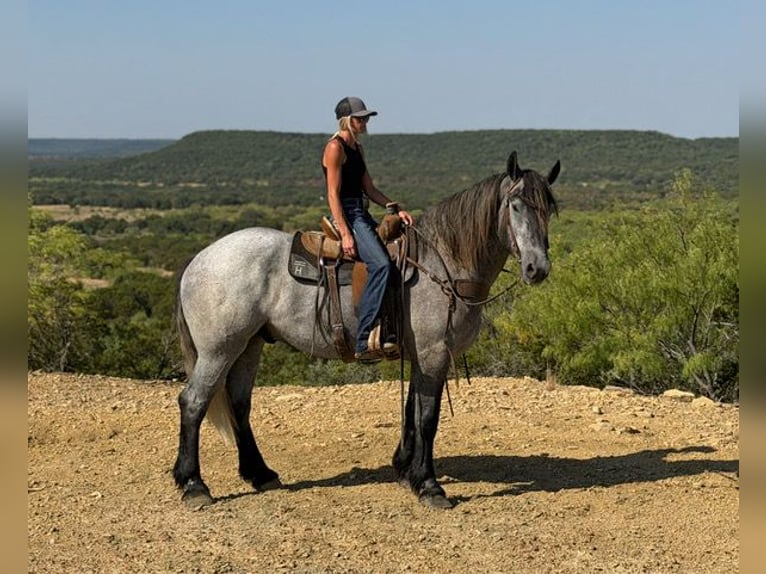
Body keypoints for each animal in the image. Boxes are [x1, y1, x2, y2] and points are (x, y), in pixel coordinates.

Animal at [173, 151, 560, 509]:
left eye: (549, 210)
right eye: (515, 206)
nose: (537, 268)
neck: (443, 264)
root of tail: (198, 260)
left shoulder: (420, 356)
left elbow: (411, 412)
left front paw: (406, 471)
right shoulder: (433, 353)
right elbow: (427, 418)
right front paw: (430, 487)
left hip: (249, 345)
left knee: (239, 404)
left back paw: (260, 474)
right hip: (218, 350)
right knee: (193, 402)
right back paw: (194, 485)